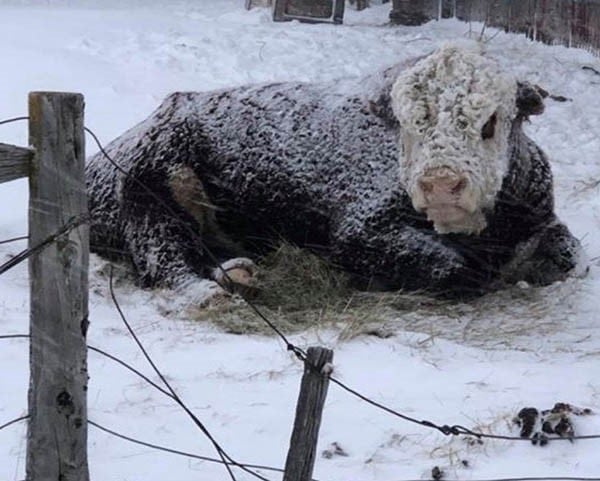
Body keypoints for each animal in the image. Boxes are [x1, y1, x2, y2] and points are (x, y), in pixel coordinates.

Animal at [86, 44, 584, 296]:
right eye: (408, 123)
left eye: (491, 121)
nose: (441, 184)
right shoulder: (359, 232)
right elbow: (456, 269)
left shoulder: (544, 219)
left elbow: (572, 257)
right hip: (151, 190)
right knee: (167, 264)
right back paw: (221, 287)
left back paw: (235, 271)